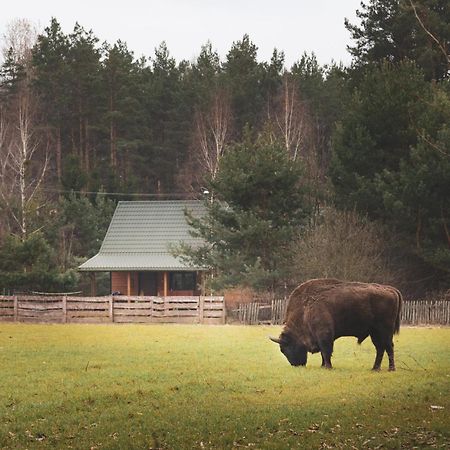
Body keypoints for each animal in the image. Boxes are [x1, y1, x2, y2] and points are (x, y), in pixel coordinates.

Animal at [268, 280, 402, 370]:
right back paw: (375, 368)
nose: (296, 365)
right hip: (374, 333)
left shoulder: (324, 335)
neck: (305, 309)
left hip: (384, 331)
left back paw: (390, 369)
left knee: (388, 347)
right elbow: (323, 353)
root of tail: (391, 289)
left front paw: (328, 367)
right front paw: (323, 366)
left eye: (285, 348)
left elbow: (326, 351)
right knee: (380, 348)